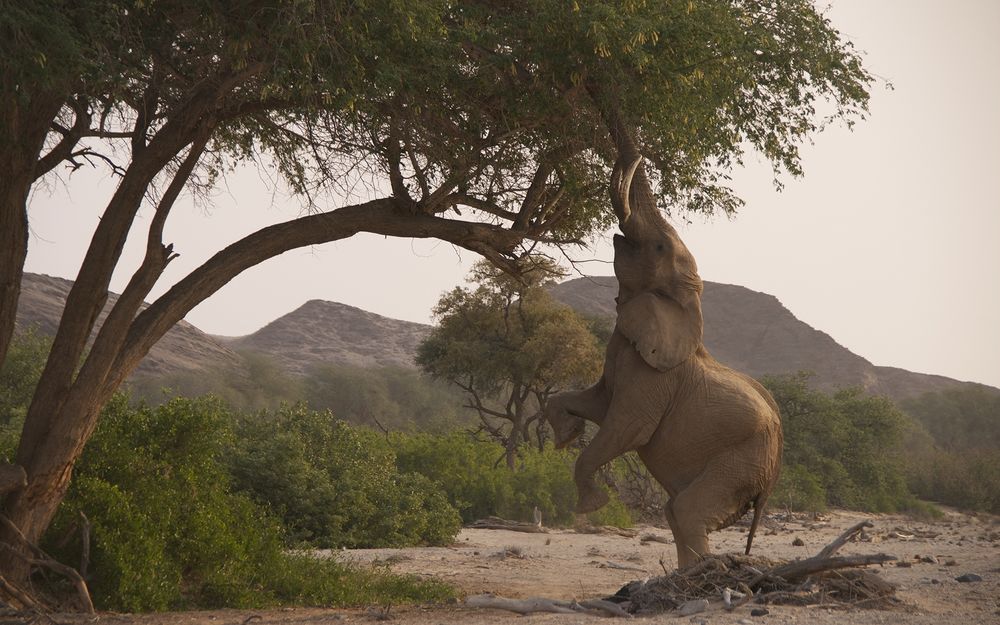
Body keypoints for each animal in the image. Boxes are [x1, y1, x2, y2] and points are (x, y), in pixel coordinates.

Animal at [544, 130, 783, 569]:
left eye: (657, 248)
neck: (686, 303)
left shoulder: (655, 377)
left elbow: (627, 426)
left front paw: (592, 504)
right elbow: (596, 404)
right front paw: (567, 435)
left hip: (745, 460)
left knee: (686, 510)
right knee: (676, 511)